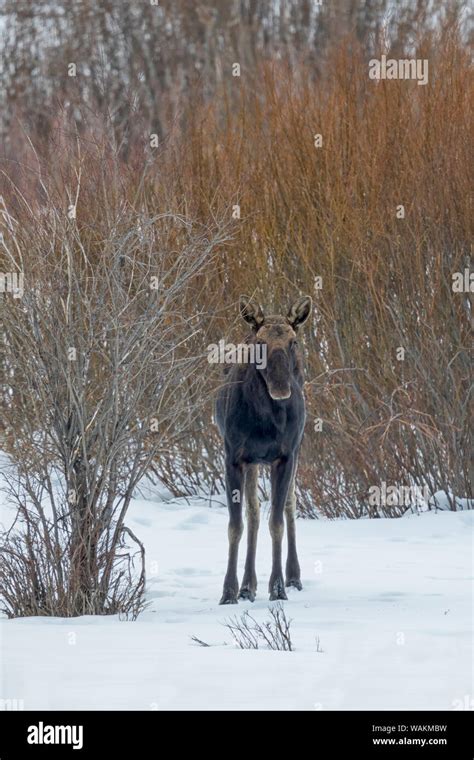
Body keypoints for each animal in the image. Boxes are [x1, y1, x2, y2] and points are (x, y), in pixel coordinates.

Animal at [217, 294, 312, 604]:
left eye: (292, 341)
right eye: (260, 342)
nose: (281, 388)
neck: (265, 421)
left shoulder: (285, 456)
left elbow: (277, 522)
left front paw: (278, 588)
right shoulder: (234, 457)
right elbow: (237, 525)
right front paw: (229, 591)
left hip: (294, 451)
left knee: (289, 507)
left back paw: (293, 576)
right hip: (254, 462)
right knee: (254, 514)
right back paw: (248, 585)